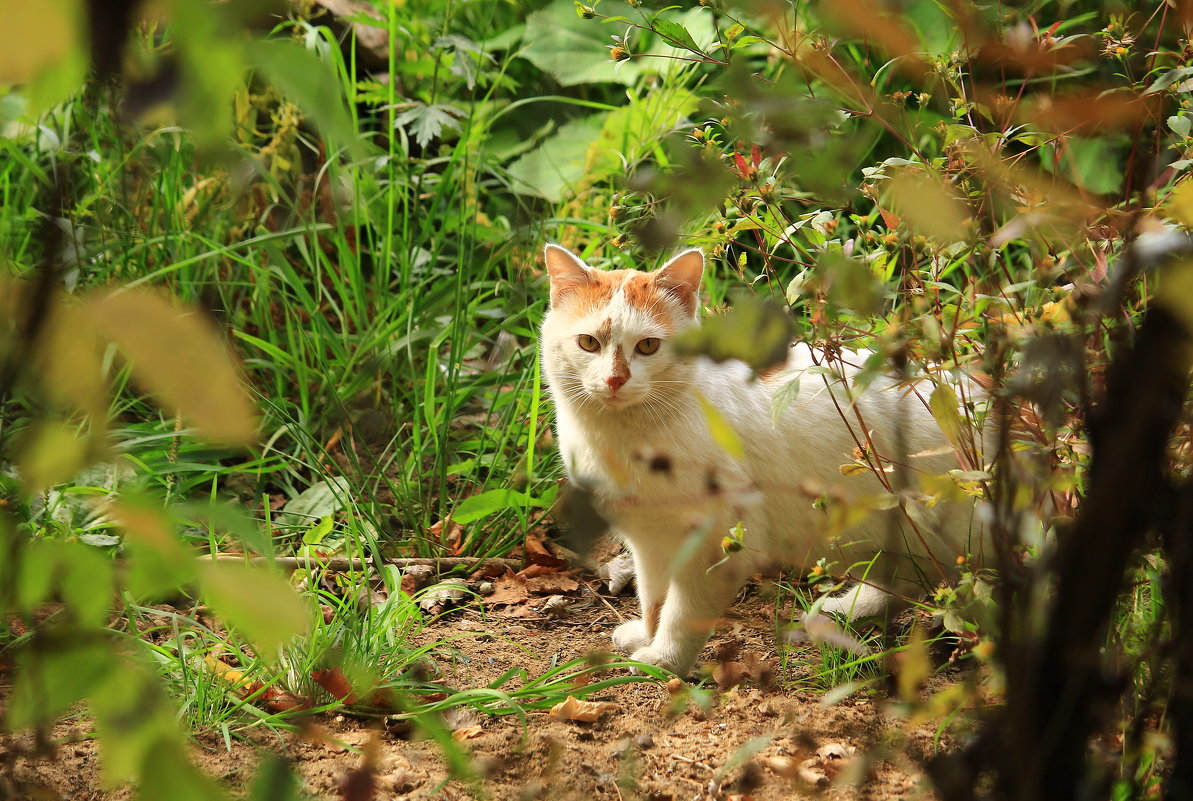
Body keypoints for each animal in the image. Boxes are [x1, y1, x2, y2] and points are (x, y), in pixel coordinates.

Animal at [546, 244, 983, 678]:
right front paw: (647, 637)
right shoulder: (650, 542)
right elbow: (654, 598)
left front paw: (666, 660)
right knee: (911, 577)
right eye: (588, 343)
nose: (615, 380)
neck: (625, 437)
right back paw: (846, 610)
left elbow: (683, 612)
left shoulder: (714, 546)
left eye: (648, 346)